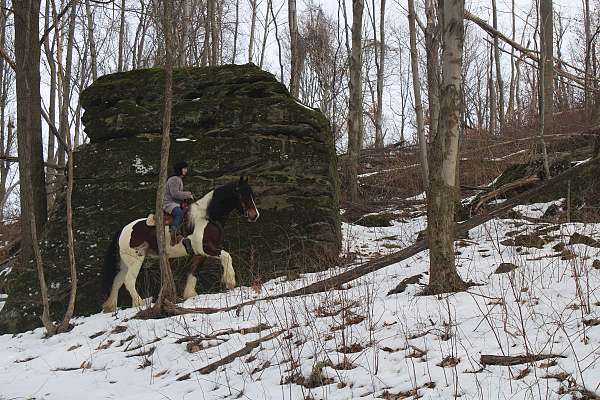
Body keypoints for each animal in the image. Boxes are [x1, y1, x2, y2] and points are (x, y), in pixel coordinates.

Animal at [100, 177, 258, 312]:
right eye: (243, 195)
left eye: (252, 194)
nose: (254, 215)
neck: (206, 217)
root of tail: (123, 229)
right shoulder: (206, 248)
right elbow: (227, 256)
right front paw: (230, 281)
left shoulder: (199, 254)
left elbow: (193, 272)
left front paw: (190, 294)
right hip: (135, 260)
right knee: (129, 281)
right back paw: (141, 302)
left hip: (125, 264)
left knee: (117, 282)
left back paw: (112, 307)